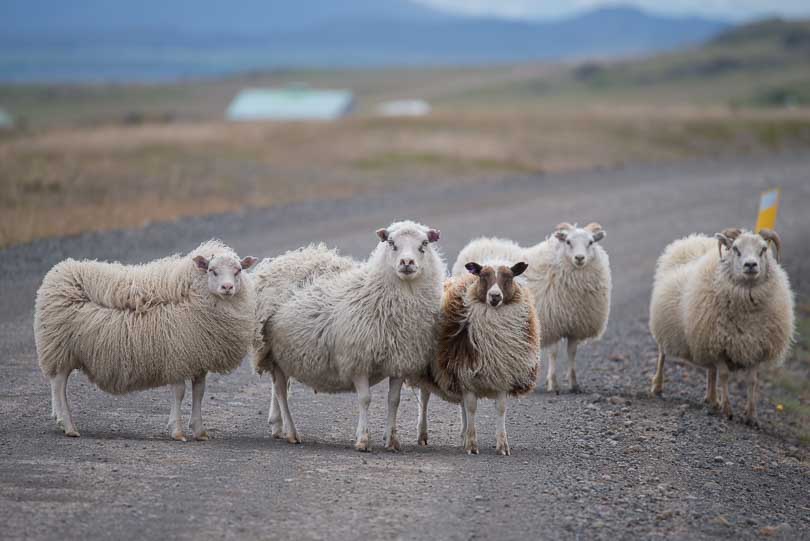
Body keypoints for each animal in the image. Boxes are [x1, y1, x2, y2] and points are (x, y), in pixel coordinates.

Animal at [34, 240, 256, 438]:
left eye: (238, 271)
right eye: (212, 270)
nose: (227, 287)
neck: (193, 294)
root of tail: (59, 271)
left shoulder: (198, 356)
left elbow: (199, 392)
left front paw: (199, 431)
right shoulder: (176, 355)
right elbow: (179, 392)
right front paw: (177, 431)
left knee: (57, 383)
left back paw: (60, 421)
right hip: (60, 346)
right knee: (59, 384)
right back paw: (68, 425)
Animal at [251, 219, 442, 452]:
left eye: (424, 243)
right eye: (391, 243)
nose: (407, 262)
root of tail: (282, 261)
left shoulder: (398, 360)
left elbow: (393, 400)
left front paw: (391, 440)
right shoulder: (357, 359)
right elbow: (365, 399)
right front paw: (363, 439)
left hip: (283, 356)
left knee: (278, 389)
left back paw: (277, 425)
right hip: (273, 352)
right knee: (280, 392)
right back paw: (291, 432)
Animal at [410, 260, 536, 454]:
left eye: (509, 277)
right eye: (483, 276)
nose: (495, 296)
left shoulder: (502, 375)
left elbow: (500, 409)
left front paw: (502, 445)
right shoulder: (464, 372)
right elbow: (471, 408)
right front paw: (472, 445)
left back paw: (462, 435)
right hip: (428, 371)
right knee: (424, 399)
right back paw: (422, 435)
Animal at [452, 223, 608, 392]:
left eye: (591, 242)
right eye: (568, 242)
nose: (579, 258)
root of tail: (477, 243)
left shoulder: (574, 325)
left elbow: (572, 352)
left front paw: (574, 384)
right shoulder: (553, 322)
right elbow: (554, 353)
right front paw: (553, 384)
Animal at [648, 228, 792, 422]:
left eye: (763, 249)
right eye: (736, 249)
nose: (751, 265)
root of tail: (693, 241)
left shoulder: (755, 347)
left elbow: (752, 380)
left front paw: (751, 415)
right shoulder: (719, 344)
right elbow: (724, 375)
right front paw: (727, 409)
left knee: (711, 370)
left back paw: (712, 399)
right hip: (668, 328)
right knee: (662, 356)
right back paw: (657, 386)